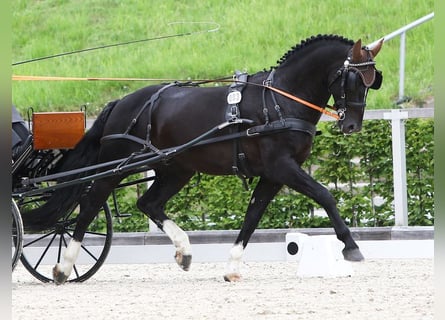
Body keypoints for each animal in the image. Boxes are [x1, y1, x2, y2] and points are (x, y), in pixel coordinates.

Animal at [21, 34, 382, 282]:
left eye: (371, 82)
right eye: (353, 79)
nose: (351, 125)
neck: (280, 100)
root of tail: (122, 101)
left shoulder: (273, 174)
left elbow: (252, 216)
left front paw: (232, 266)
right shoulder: (283, 167)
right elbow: (325, 195)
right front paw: (351, 247)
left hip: (175, 168)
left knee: (148, 203)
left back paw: (184, 250)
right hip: (115, 167)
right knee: (89, 206)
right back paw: (64, 266)